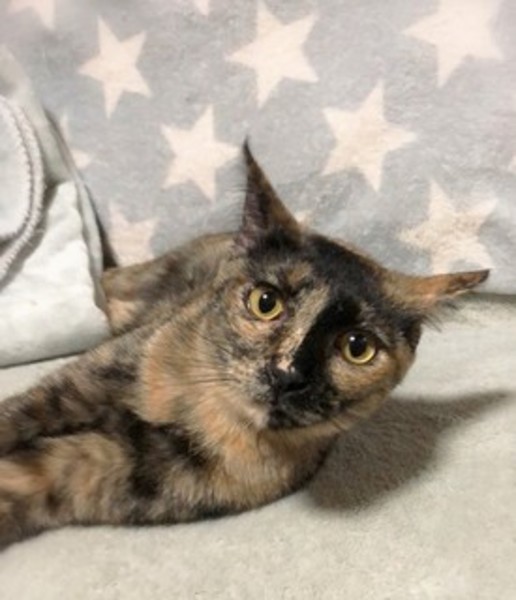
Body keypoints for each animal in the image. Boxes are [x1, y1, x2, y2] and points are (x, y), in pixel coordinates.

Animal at [0, 144, 487, 549]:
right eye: (265, 302)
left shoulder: (106, 468)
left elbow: (17, 477)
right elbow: (17, 415)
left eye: (357, 347)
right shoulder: (86, 381)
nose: (288, 373)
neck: (204, 412)